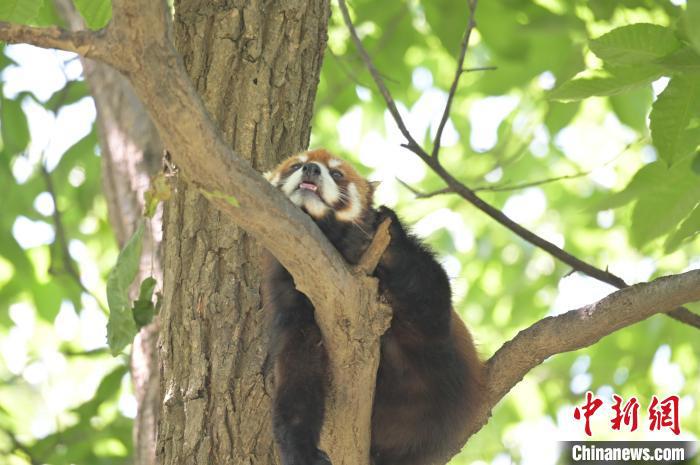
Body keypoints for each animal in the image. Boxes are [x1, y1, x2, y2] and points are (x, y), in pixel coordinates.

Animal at [262, 149, 482, 464]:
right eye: (295, 165)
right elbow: (298, 373)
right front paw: (300, 449)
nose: (311, 169)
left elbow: (432, 307)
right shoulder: (293, 299)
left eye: (337, 174)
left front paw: (387, 228)